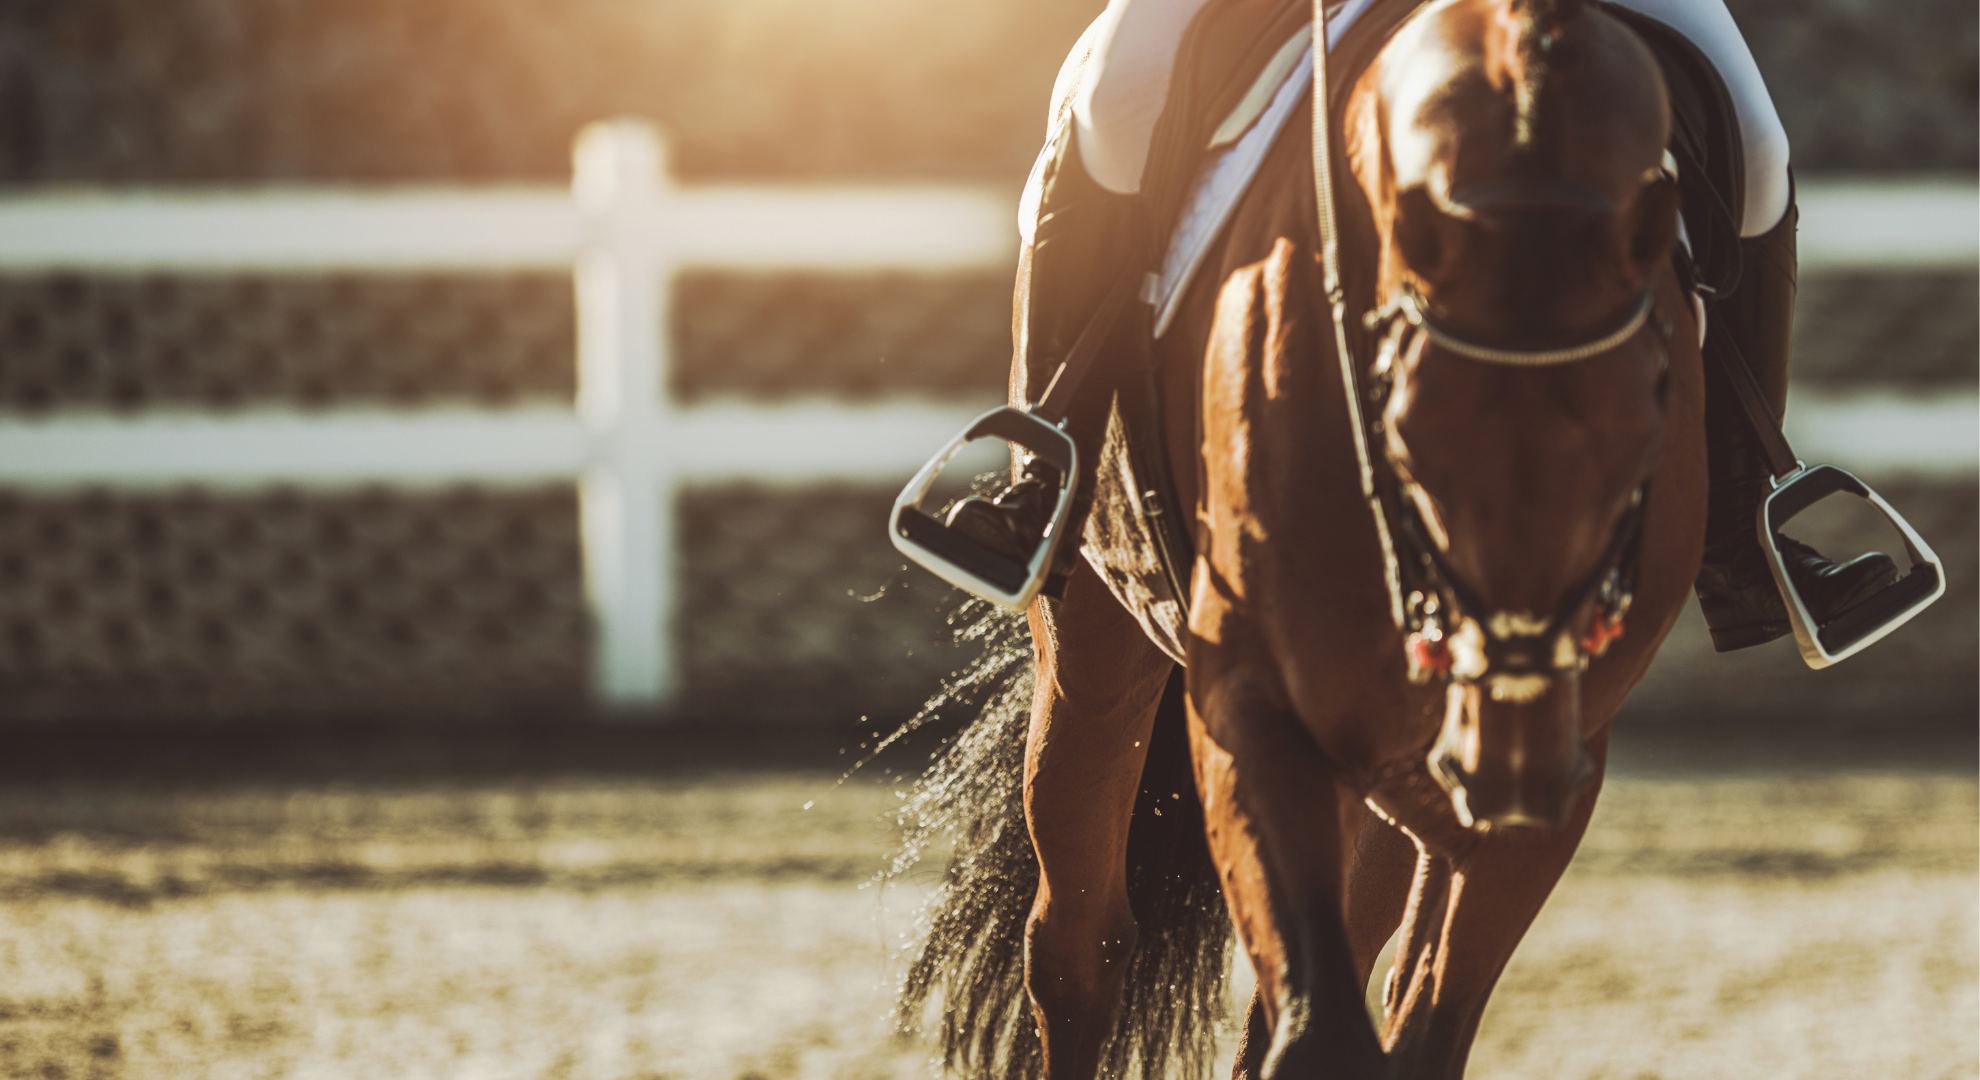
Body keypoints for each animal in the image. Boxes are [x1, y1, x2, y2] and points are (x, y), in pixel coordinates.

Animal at [893, 0, 1705, 1076]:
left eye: (1648, 426)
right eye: (1404, 429)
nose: (1505, 764)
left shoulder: (1551, 782)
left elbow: (1409, 1029)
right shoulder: (1253, 702)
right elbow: (1321, 1031)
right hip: (1095, 650)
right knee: (1077, 948)